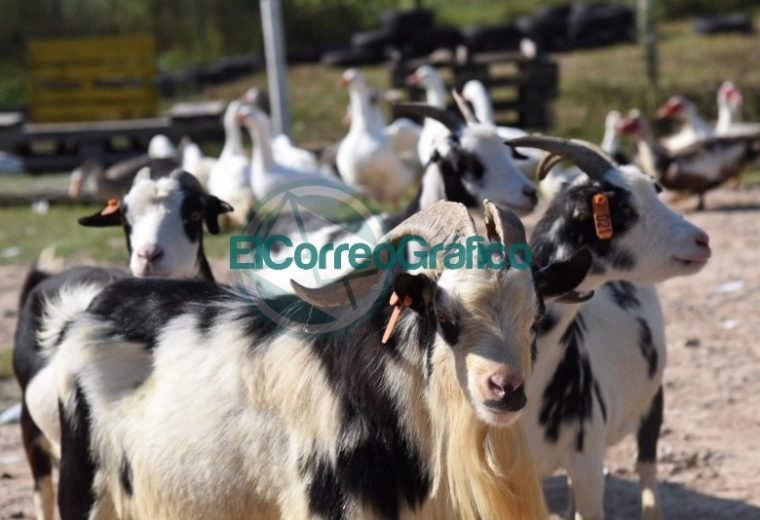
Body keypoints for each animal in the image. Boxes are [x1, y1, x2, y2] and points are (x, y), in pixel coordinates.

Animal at [506, 136, 711, 520]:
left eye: (655, 191)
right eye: (625, 211)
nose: (701, 240)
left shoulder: (588, 458)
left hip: (653, 396)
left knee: (646, 466)